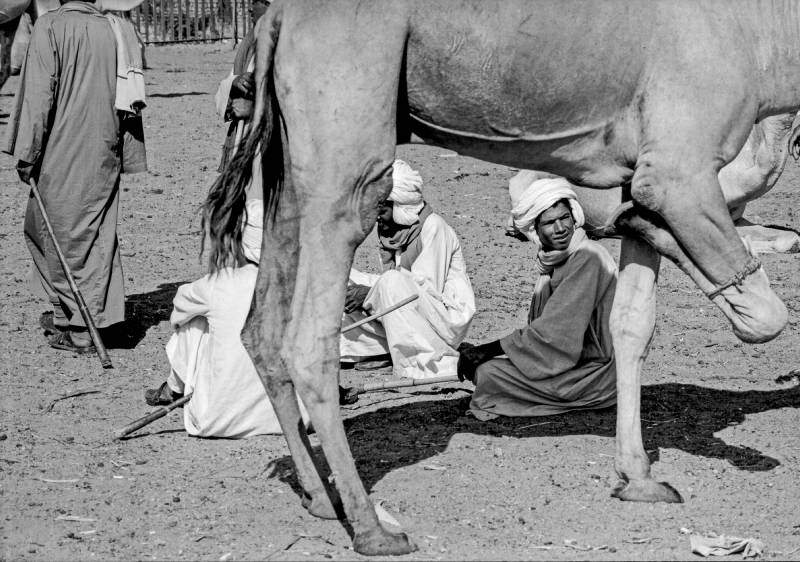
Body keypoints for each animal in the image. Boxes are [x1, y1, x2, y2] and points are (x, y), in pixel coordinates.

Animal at [205, 0, 800, 552]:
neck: (763, 33)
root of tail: (275, 17)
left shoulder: (653, 165)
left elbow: (633, 324)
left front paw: (638, 479)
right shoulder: (680, 168)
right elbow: (765, 314)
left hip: (285, 165)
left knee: (260, 328)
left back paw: (321, 498)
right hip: (345, 146)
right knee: (308, 339)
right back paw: (374, 528)